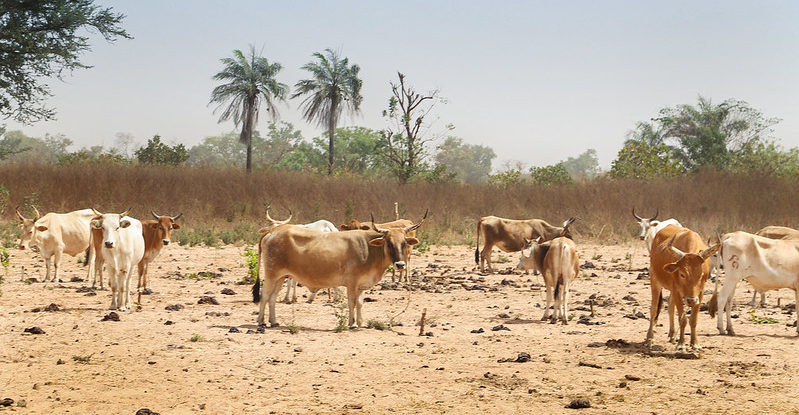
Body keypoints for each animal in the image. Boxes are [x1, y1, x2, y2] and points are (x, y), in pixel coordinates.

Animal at [253, 213, 428, 330]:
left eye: (404, 242)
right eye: (389, 243)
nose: (400, 264)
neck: (369, 249)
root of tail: (273, 231)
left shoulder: (361, 285)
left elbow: (359, 303)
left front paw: (360, 322)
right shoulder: (352, 283)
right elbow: (351, 302)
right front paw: (352, 323)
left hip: (281, 277)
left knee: (273, 298)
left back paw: (274, 321)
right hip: (271, 275)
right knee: (265, 295)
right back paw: (261, 321)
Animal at [648, 224, 720, 352]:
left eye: (701, 274)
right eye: (682, 274)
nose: (691, 300)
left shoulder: (700, 293)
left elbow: (693, 319)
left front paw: (695, 343)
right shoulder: (677, 290)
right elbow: (682, 319)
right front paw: (681, 344)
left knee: (670, 307)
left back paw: (672, 335)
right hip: (655, 281)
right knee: (654, 308)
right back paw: (650, 337)